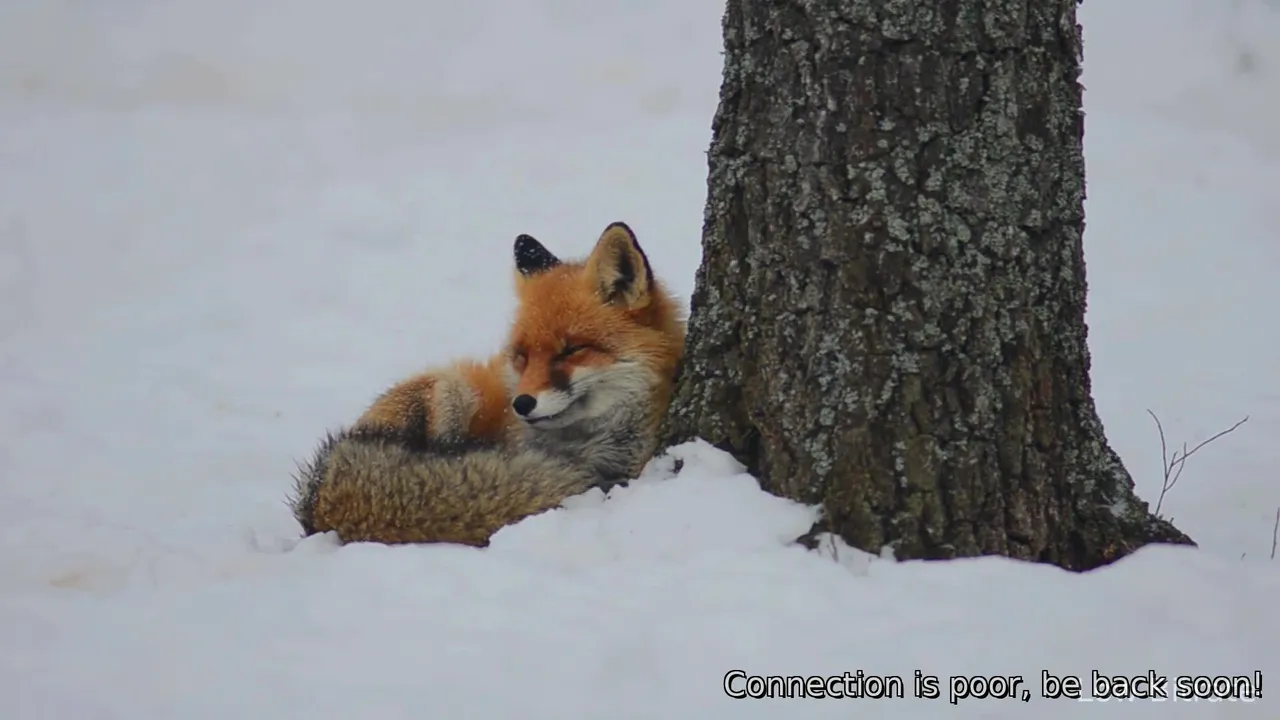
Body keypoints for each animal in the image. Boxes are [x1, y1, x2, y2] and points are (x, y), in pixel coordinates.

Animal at [288, 221, 685, 547]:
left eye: (571, 350)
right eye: (522, 356)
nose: (521, 404)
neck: (593, 446)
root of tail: (323, 501)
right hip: (452, 392)